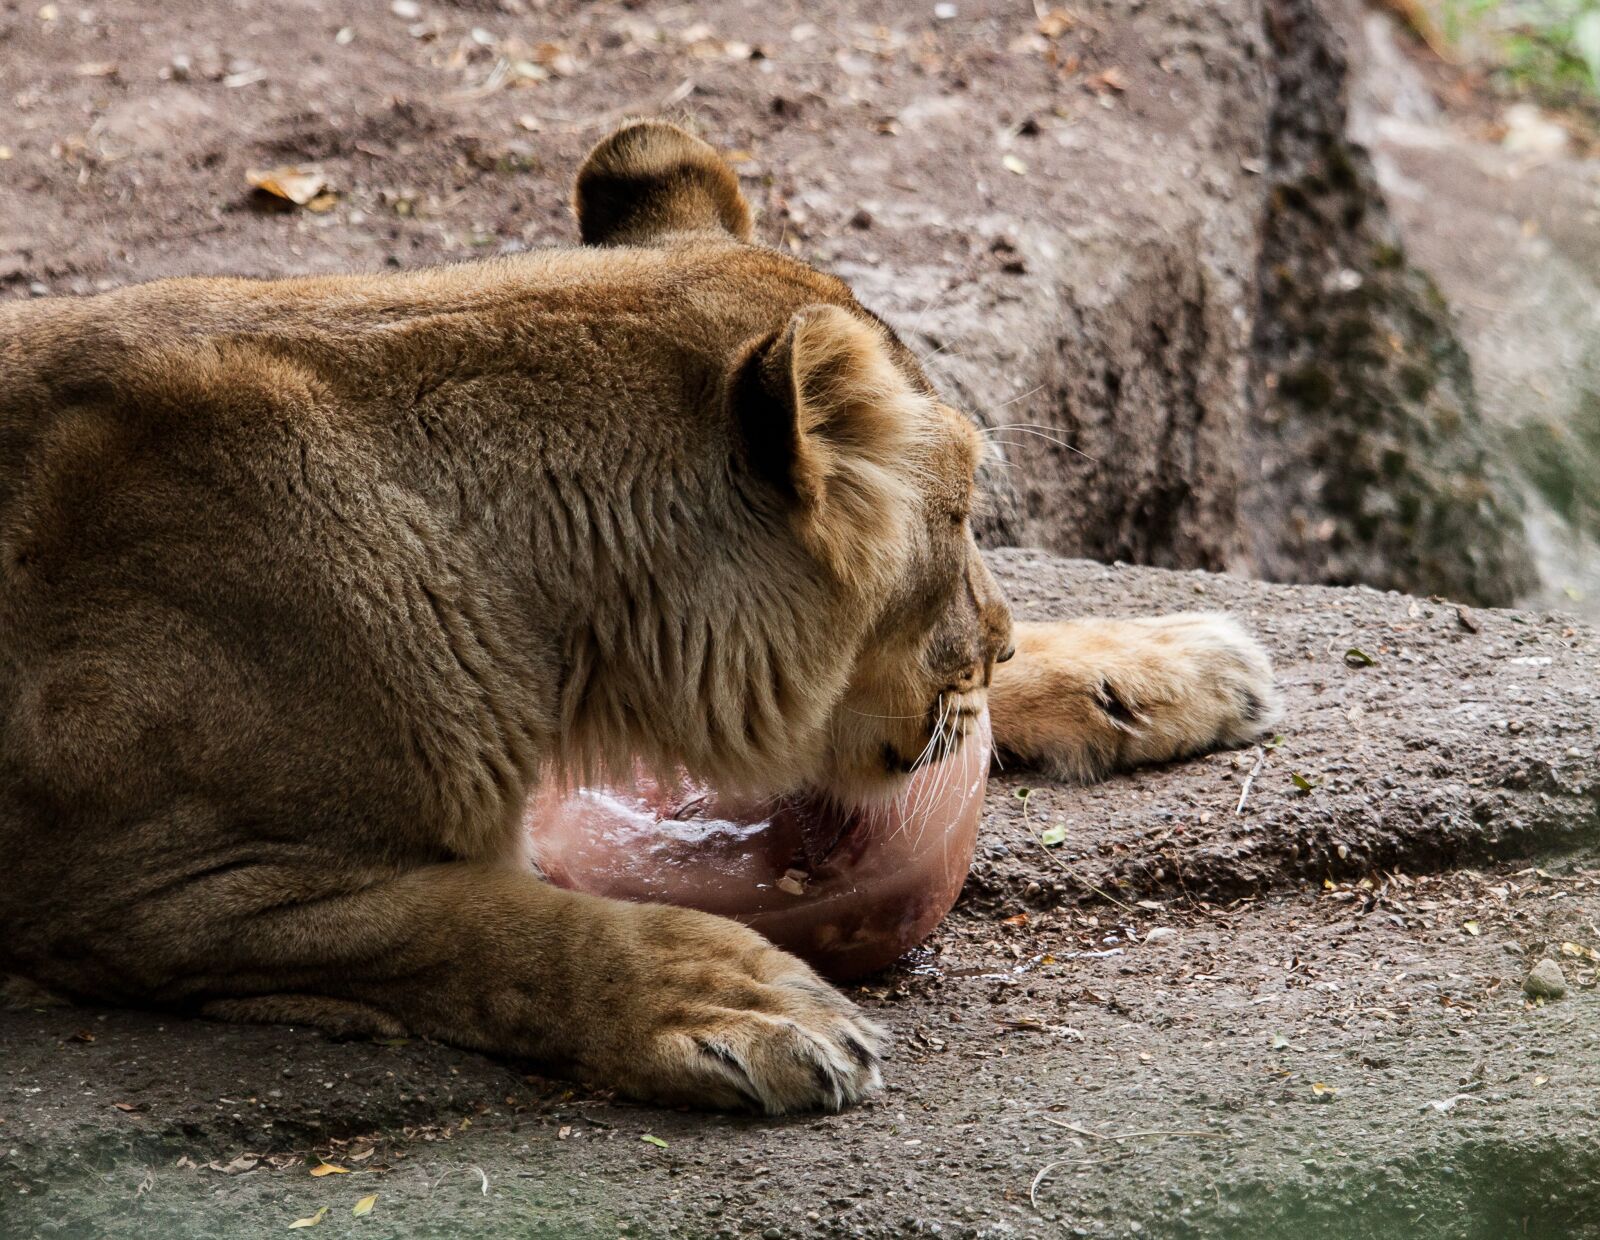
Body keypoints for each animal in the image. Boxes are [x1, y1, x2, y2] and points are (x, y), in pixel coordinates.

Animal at [0, 121, 1279, 1114]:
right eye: (958, 515)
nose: (1000, 640)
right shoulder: (135, 888)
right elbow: (490, 925)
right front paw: (725, 998)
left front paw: (1159, 664)